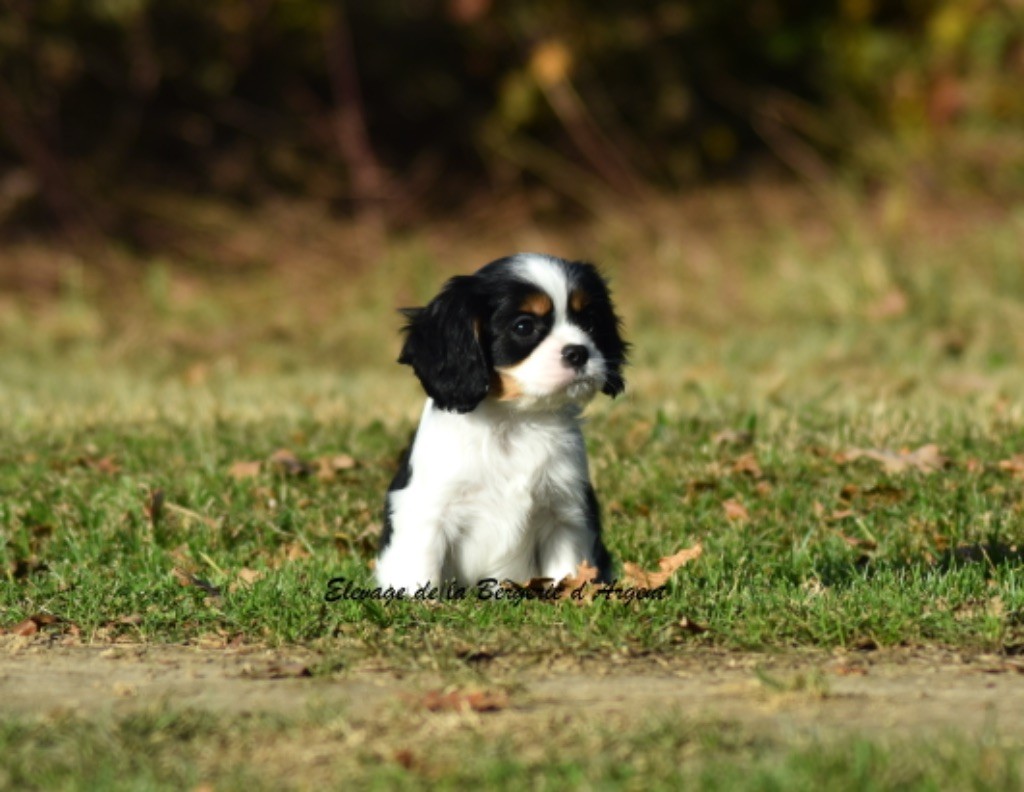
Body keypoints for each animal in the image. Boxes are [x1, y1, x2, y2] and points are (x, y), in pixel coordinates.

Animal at [376, 249, 626, 590]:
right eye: (523, 327)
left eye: (588, 321)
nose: (578, 352)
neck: (514, 420)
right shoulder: (428, 513)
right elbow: (420, 571)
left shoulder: (565, 514)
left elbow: (567, 569)